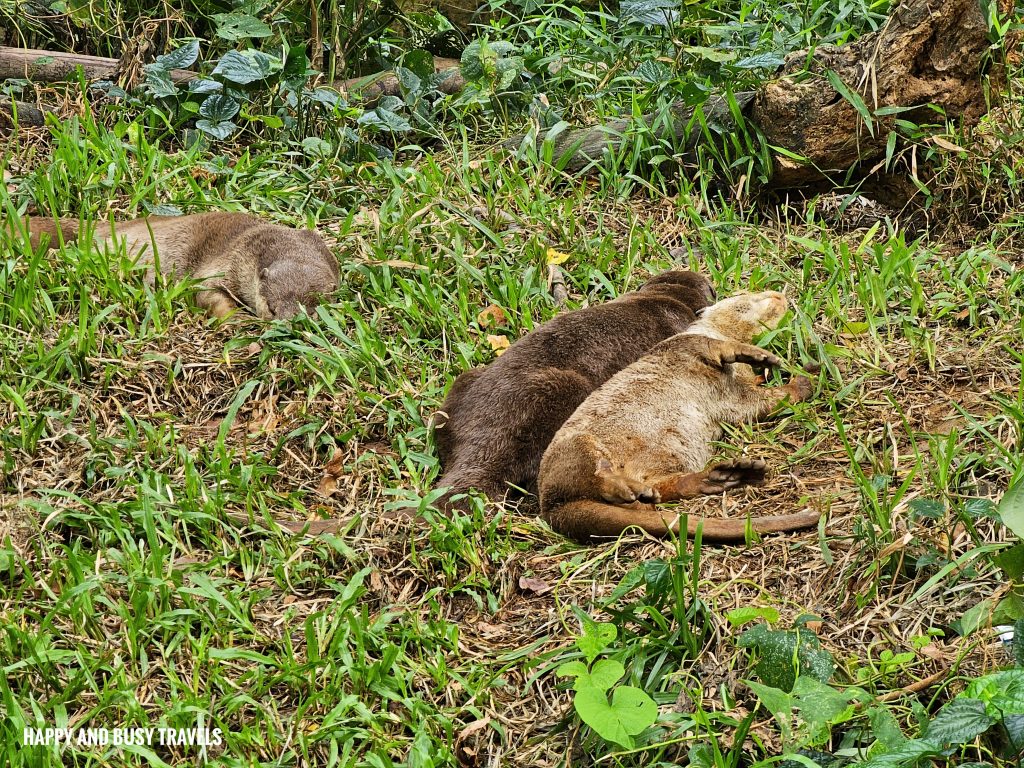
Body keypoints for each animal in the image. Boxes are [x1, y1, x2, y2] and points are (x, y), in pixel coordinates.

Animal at [12, 211, 339, 319]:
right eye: (271, 307)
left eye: (309, 311)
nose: (285, 323)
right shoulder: (225, 264)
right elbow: (206, 294)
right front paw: (236, 319)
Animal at [540, 290, 819, 544]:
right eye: (746, 297)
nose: (778, 295)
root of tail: (550, 507)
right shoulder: (684, 344)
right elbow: (715, 349)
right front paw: (763, 357)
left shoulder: (735, 397)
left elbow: (757, 405)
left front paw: (804, 376)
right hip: (575, 445)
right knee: (598, 475)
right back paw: (633, 489)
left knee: (663, 489)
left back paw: (725, 475)